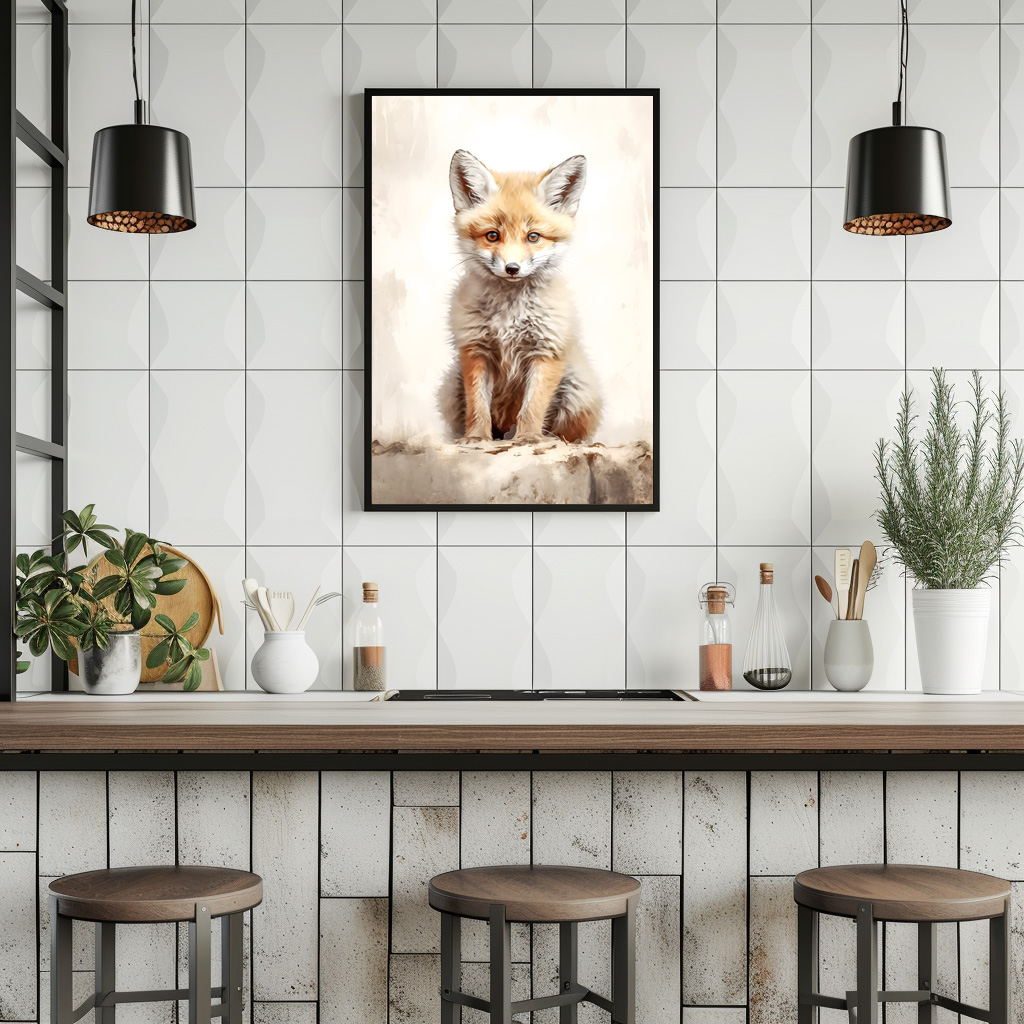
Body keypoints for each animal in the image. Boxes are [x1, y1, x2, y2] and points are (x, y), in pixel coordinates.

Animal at [437, 149, 603, 445]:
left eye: (533, 237)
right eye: (492, 235)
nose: (512, 268)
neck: (510, 314)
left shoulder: (545, 351)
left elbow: (532, 407)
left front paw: (527, 438)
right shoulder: (475, 349)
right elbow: (477, 406)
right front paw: (476, 438)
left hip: (577, 390)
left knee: (567, 435)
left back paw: (547, 439)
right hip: (449, 388)